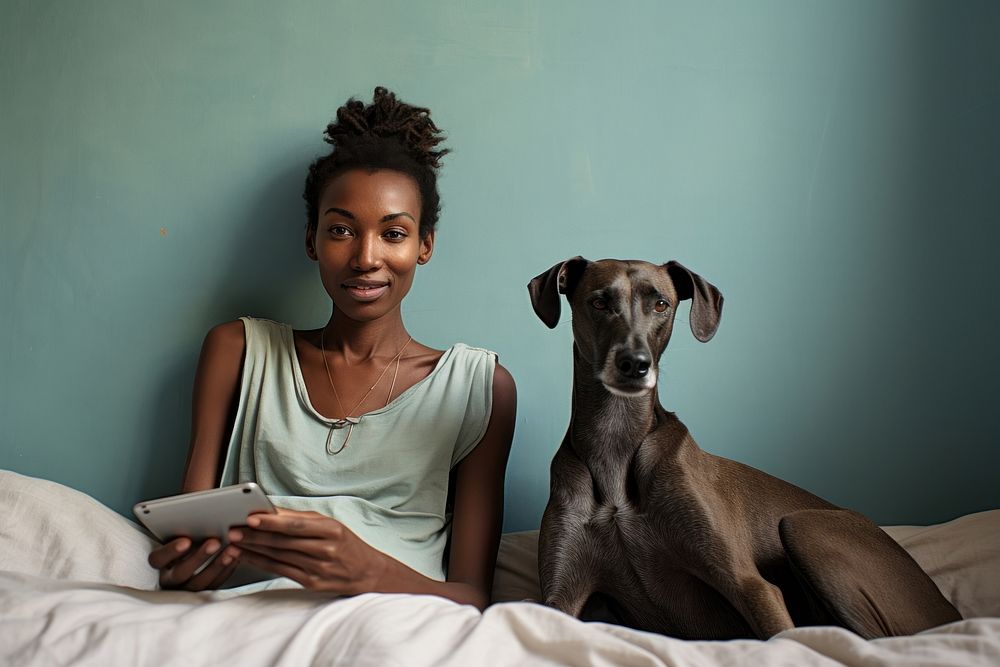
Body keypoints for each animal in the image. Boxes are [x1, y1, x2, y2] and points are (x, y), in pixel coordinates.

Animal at [532, 258, 960, 640]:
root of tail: (949, 610)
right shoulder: (559, 596)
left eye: (661, 304)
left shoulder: (751, 586)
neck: (616, 443)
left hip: (805, 525)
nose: (635, 364)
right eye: (599, 302)